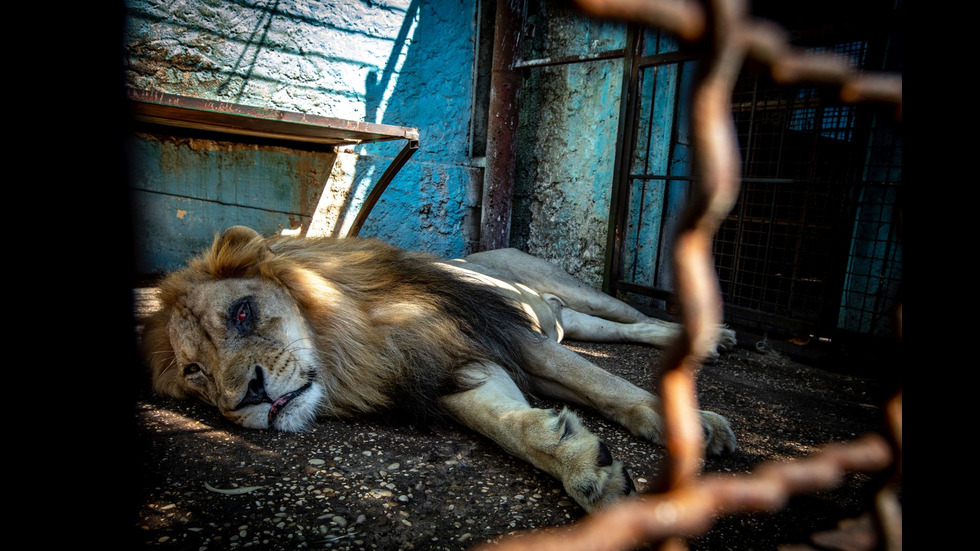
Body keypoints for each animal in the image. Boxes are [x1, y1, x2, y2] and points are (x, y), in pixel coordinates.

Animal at [140, 225, 736, 512]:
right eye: (195, 372)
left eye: (242, 312)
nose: (247, 398)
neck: (351, 345)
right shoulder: (445, 371)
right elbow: (507, 425)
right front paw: (581, 463)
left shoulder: (503, 335)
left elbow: (604, 381)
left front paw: (690, 424)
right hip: (568, 320)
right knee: (615, 331)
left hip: (568, 289)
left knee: (631, 316)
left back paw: (712, 337)